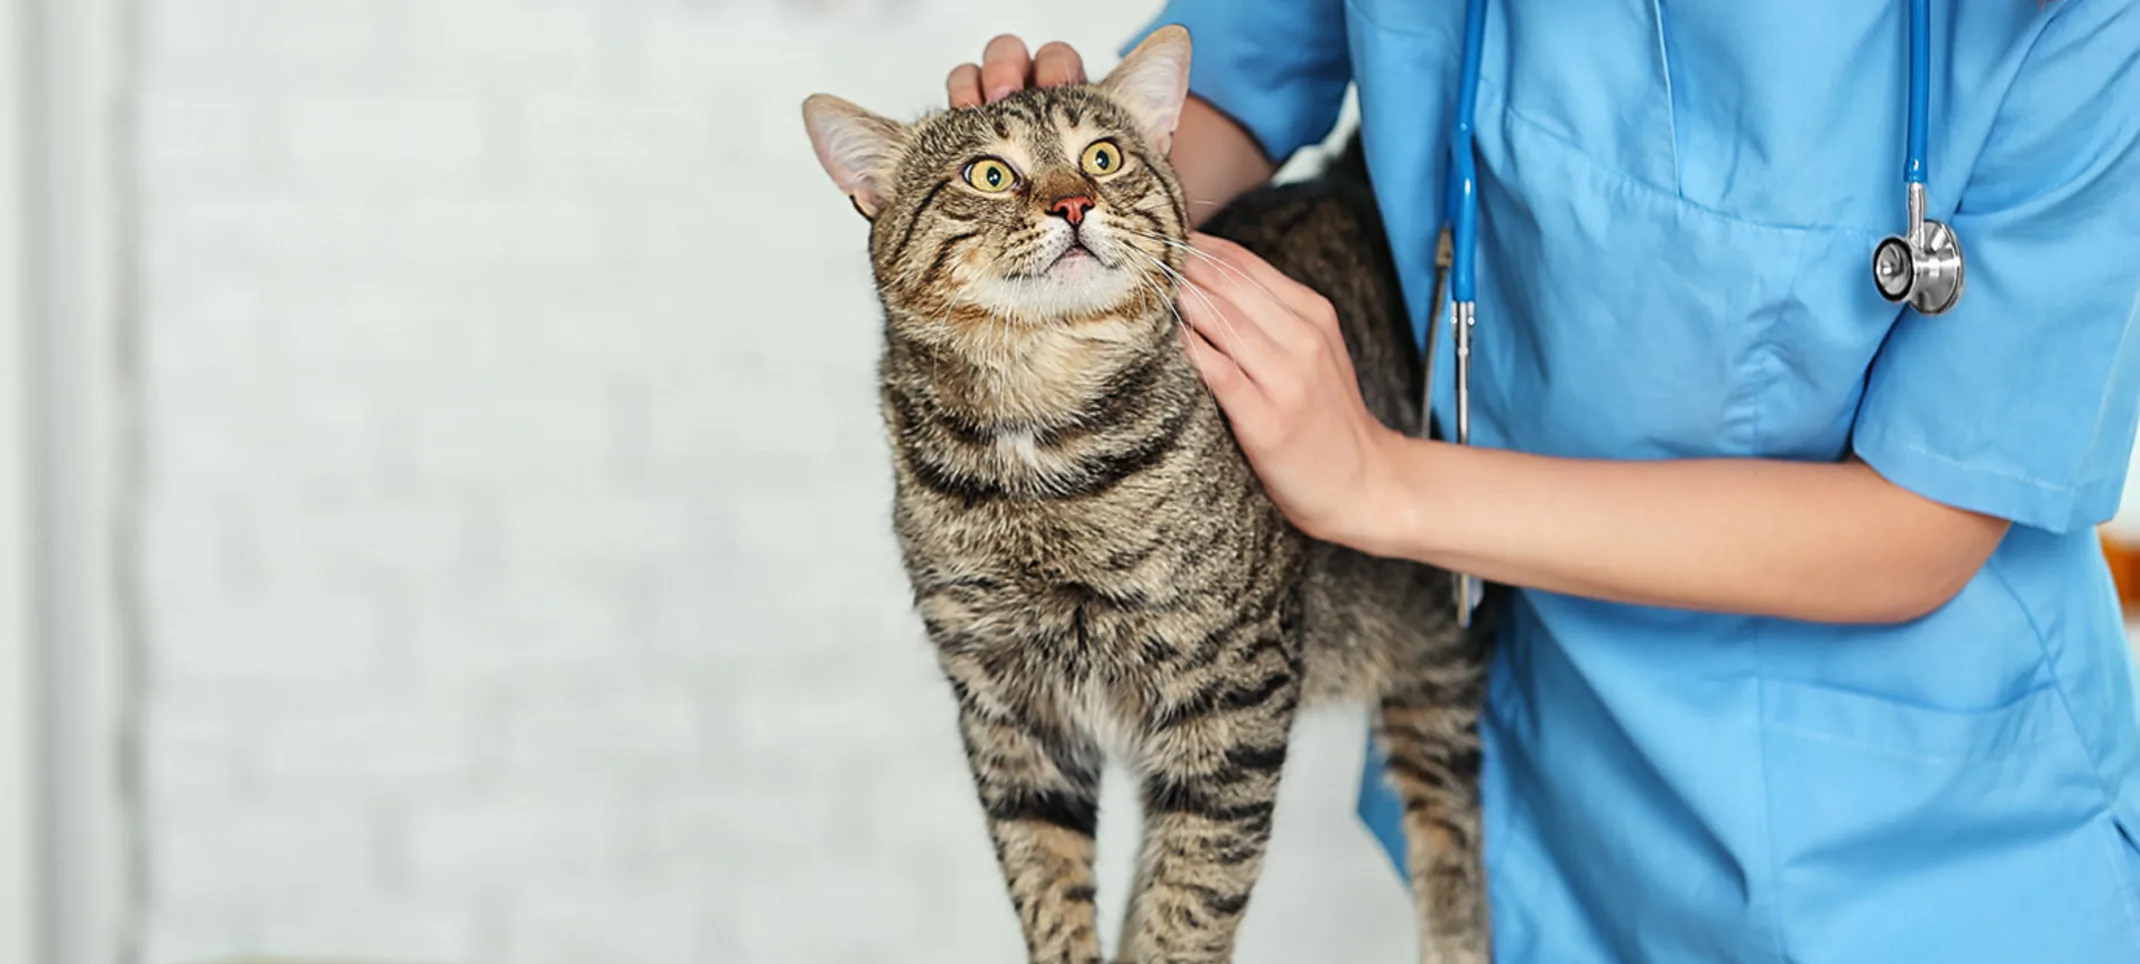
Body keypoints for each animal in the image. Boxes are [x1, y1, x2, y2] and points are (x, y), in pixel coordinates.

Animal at [800, 24, 1489, 964]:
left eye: (1103, 156)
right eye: (990, 174)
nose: (1073, 205)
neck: (1039, 441)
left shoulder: (1233, 696)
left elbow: (1190, 901)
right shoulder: (1008, 715)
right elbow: (1049, 884)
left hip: (1437, 643)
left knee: (1451, 821)